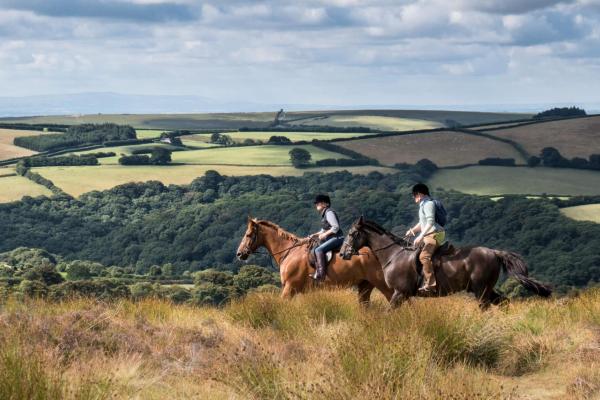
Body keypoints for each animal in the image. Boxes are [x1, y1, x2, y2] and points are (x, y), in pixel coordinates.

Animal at [234, 217, 394, 304]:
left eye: (248, 235)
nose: (239, 254)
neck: (288, 251)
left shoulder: (290, 287)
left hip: (382, 283)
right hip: (365, 285)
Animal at [340, 217, 552, 308]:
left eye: (352, 234)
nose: (343, 253)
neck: (394, 254)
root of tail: (493, 252)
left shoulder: (399, 293)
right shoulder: (404, 295)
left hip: (481, 290)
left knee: (486, 306)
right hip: (486, 289)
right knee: (504, 302)